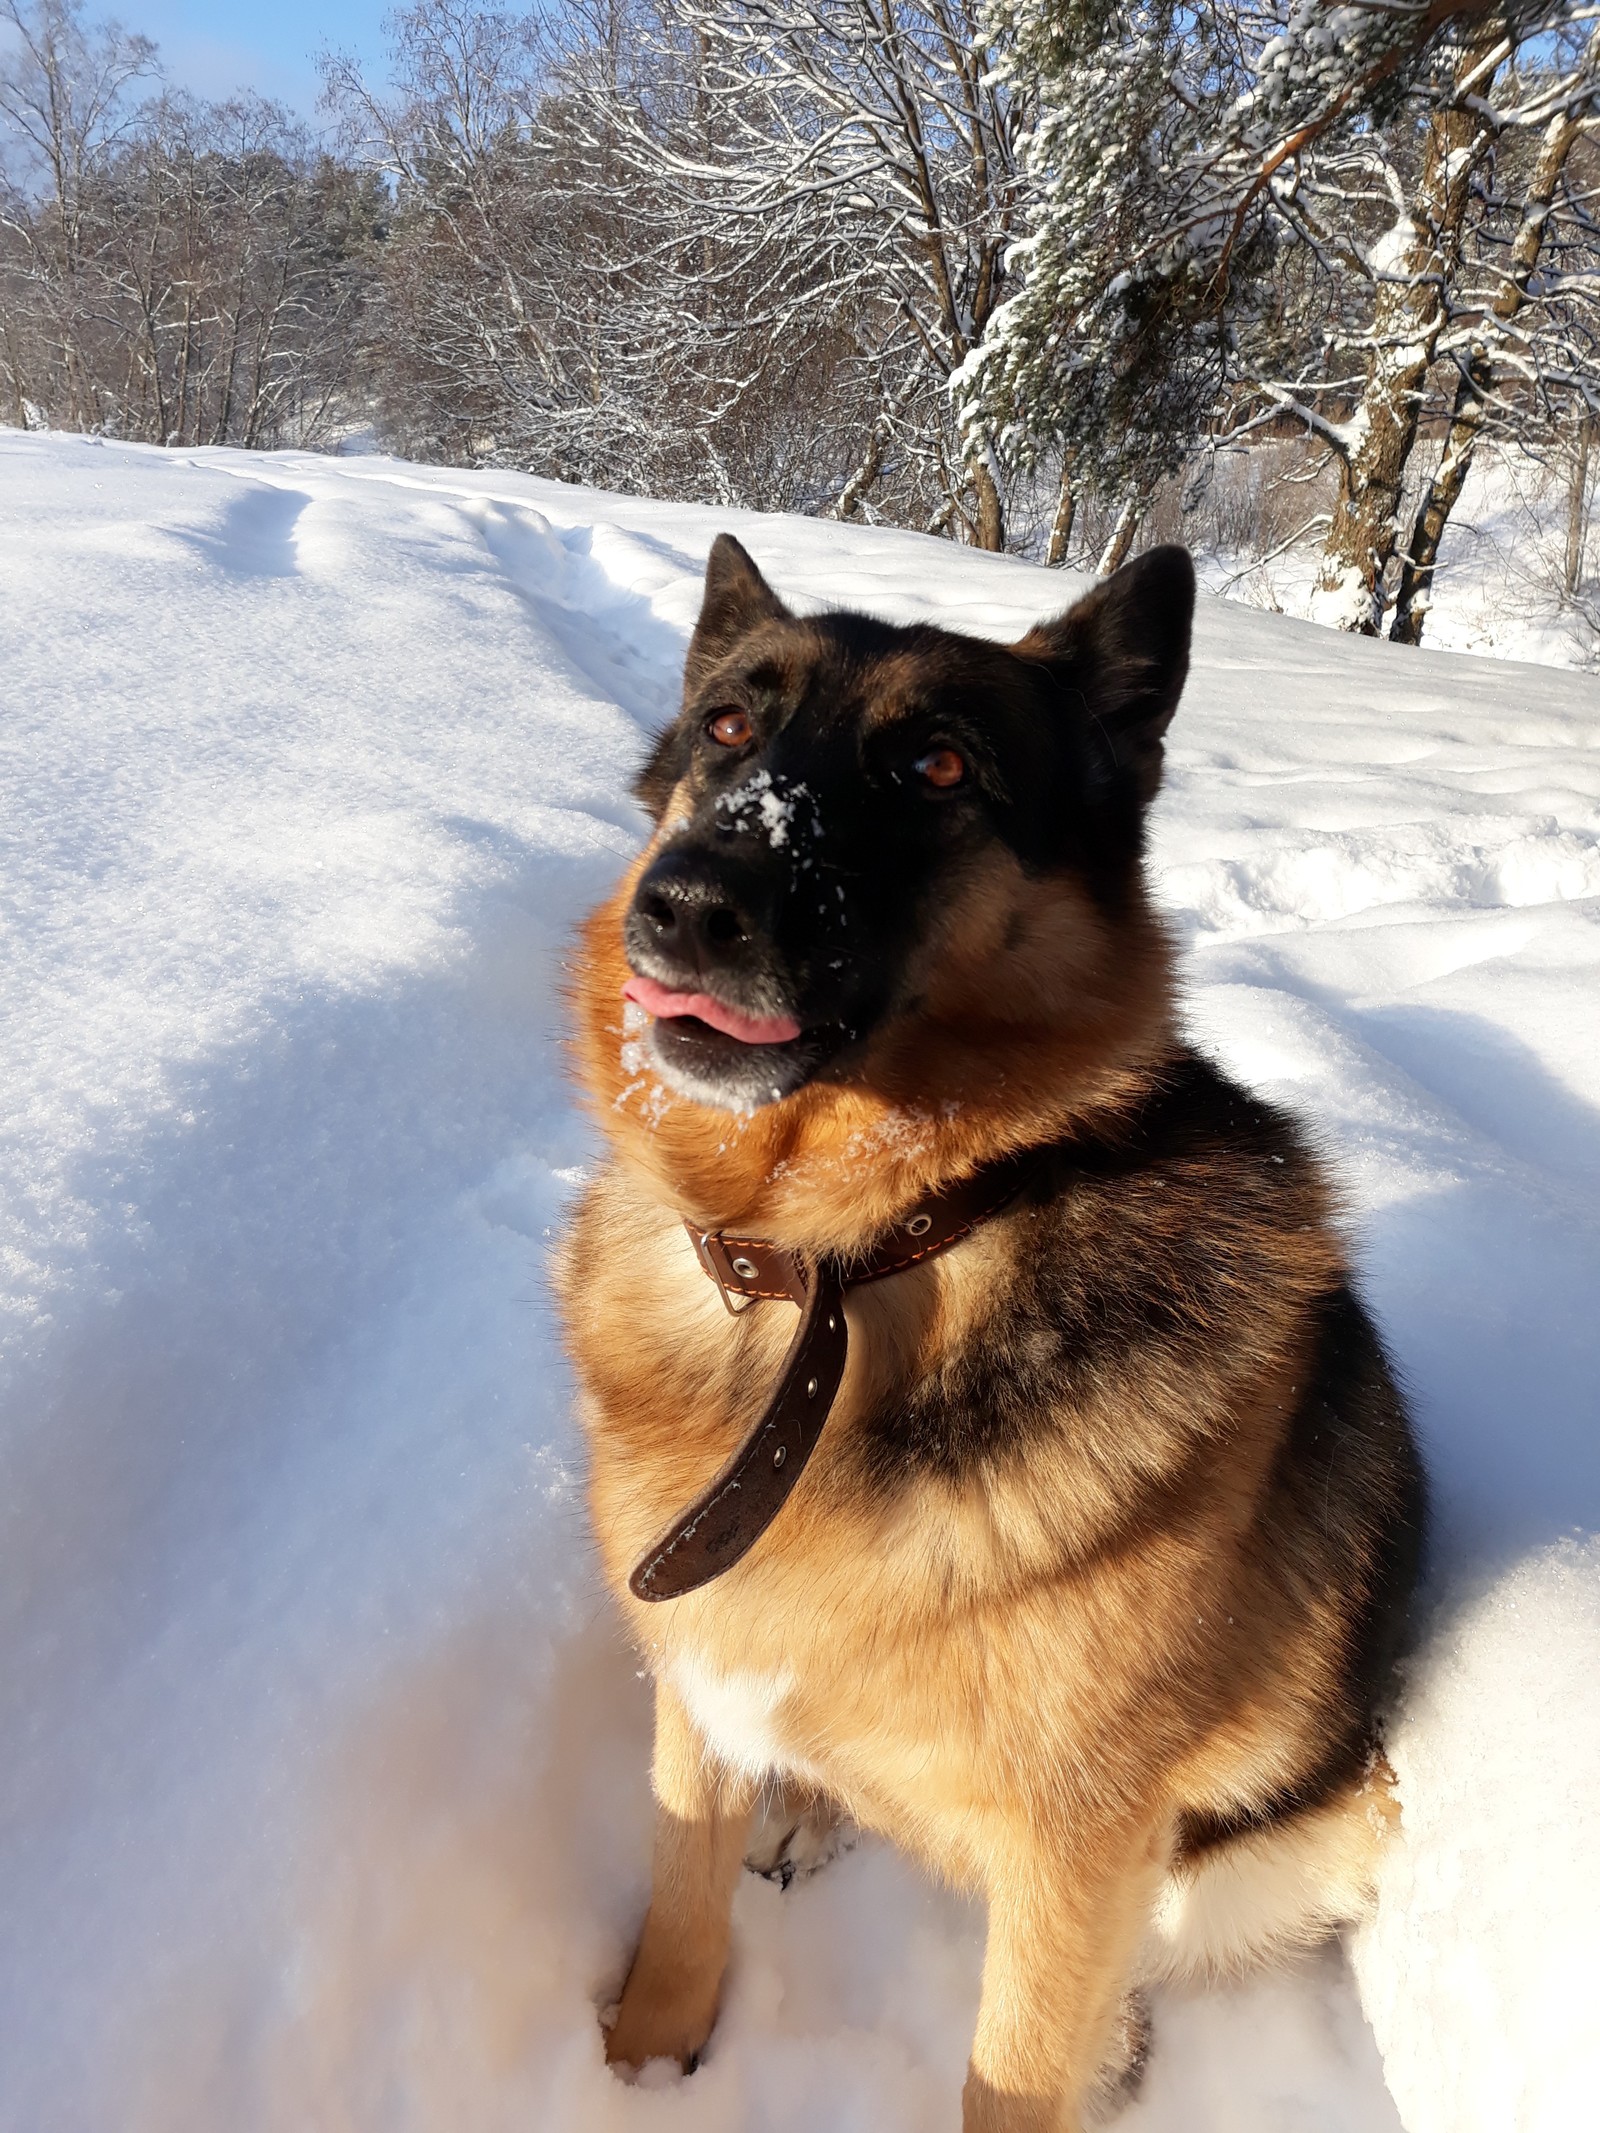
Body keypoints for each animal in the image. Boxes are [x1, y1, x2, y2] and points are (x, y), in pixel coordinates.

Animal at [558, 524, 1425, 2124]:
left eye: (939, 766)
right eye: (728, 727)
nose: (690, 904)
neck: (849, 1265)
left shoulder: (1079, 1847)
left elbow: (1015, 2067)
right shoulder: (699, 1687)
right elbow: (679, 1906)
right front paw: (639, 2071)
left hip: (1298, 1834)